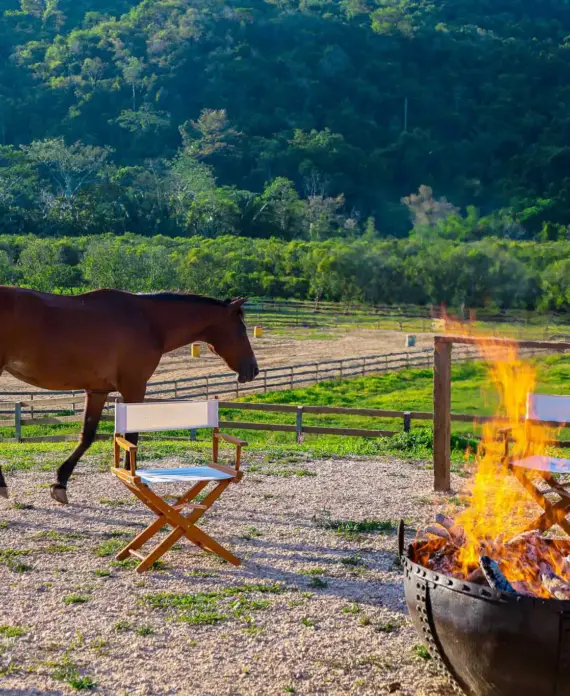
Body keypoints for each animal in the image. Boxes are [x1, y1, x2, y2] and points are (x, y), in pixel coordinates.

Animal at [0, 287, 259, 504]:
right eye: (241, 329)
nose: (254, 370)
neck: (149, 321)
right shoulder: (134, 387)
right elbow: (132, 435)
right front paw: (132, 476)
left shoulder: (97, 390)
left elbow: (87, 436)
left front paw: (60, 482)